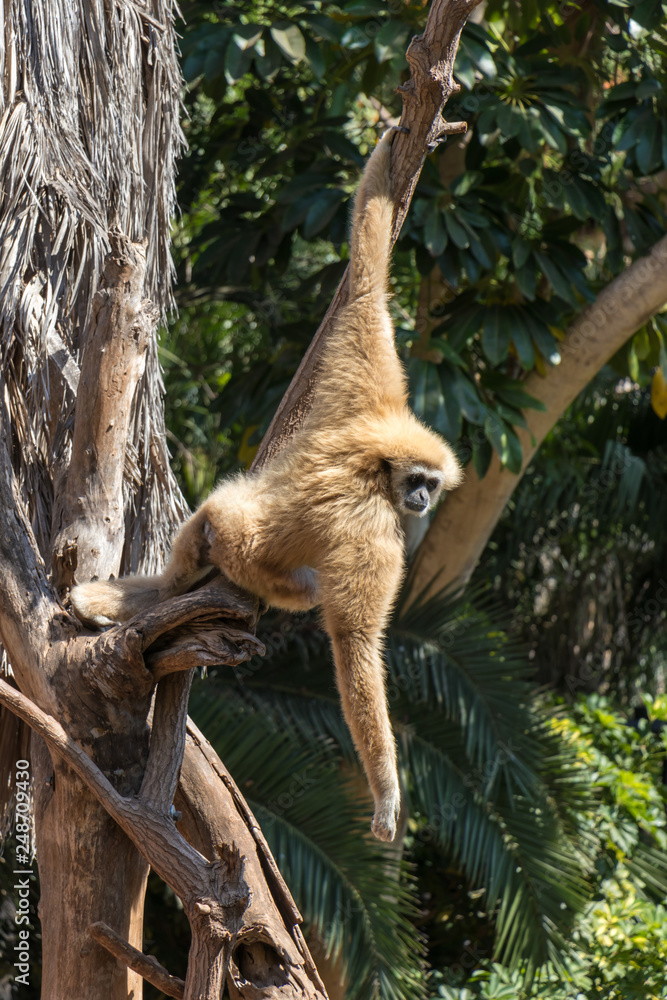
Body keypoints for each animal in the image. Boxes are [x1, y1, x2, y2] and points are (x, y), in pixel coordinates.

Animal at [71, 128, 462, 842]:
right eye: (417, 482)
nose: (422, 498)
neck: (375, 462)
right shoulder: (377, 528)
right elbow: (355, 640)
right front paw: (386, 793)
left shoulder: (367, 397)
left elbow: (365, 288)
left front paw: (393, 146)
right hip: (238, 540)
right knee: (298, 586)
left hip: (211, 518)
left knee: (189, 558)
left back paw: (137, 597)